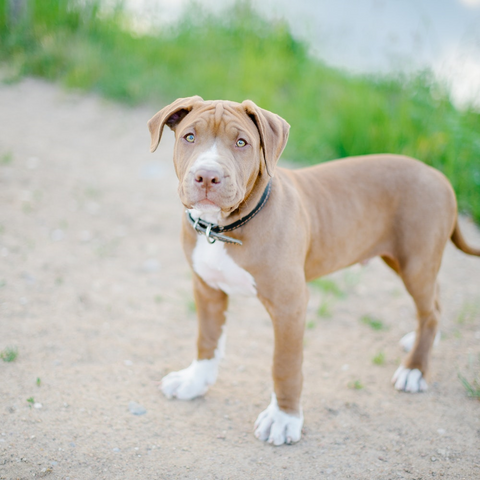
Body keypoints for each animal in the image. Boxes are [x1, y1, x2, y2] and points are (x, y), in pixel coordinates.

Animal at [147, 97, 480, 446]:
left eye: (241, 143)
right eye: (189, 137)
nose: (207, 176)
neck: (223, 227)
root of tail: (438, 175)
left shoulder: (289, 305)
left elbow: (285, 364)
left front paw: (284, 418)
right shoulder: (207, 289)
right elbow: (207, 341)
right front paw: (194, 382)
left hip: (416, 261)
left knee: (429, 311)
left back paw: (414, 369)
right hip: (408, 261)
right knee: (434, 302)